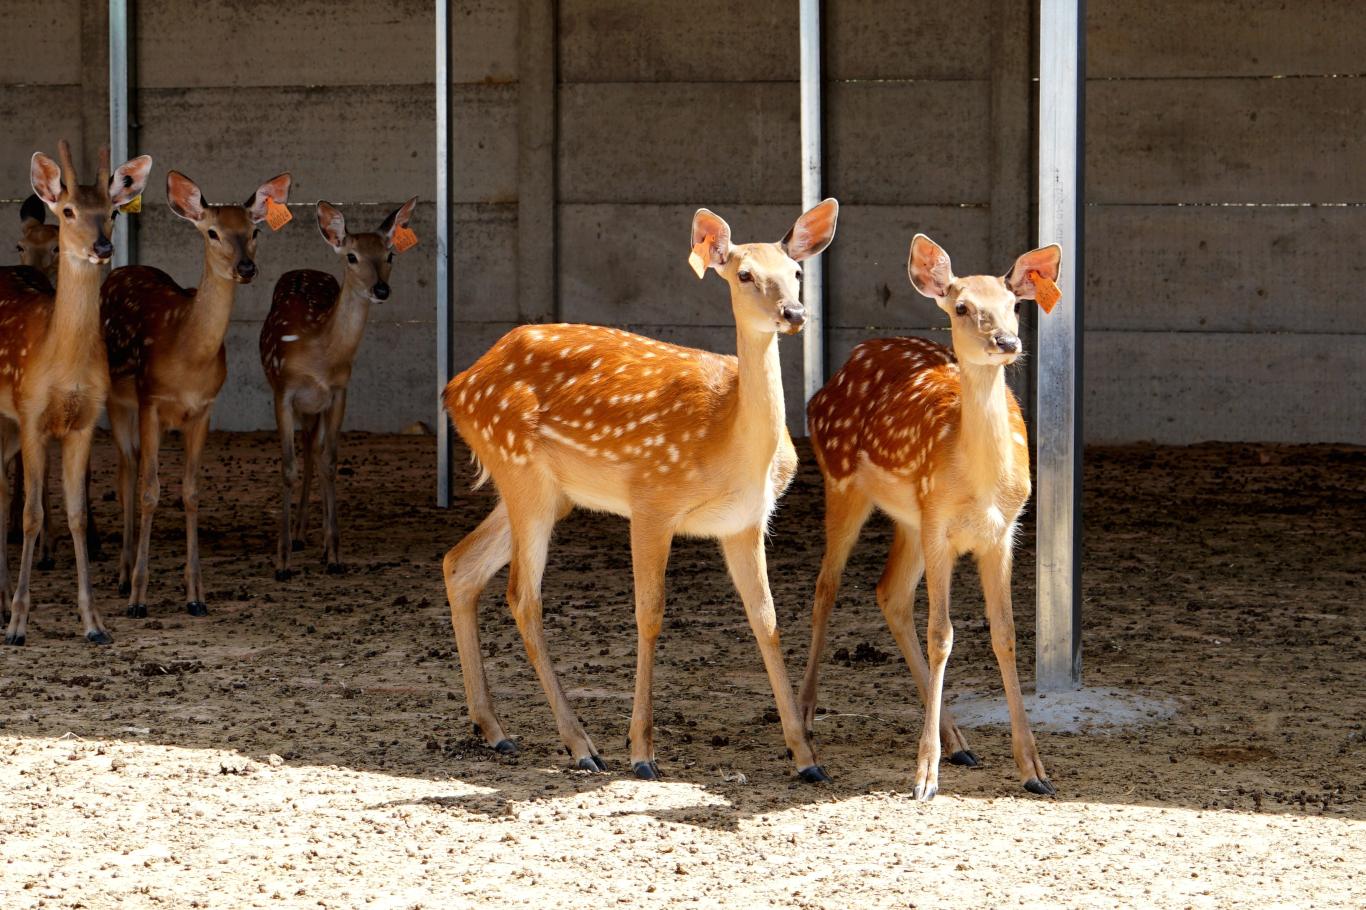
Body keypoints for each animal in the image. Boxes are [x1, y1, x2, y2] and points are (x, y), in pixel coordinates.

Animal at [0, 142, 152, 642]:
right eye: (68, 210)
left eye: (112, 211)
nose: (102, 246)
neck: (61, 364)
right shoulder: (31, 414)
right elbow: (31, 515)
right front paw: (18, 623)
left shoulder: (84, 421)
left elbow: (77, 515)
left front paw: (93, 621)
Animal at [102, 166, 292, 617]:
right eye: (212, 232)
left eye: (254, 231)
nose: (246, 267)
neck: (187, 355)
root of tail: (119, 269)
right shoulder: (151, 400)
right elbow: (150, 492)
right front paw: (138, 599)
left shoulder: (204, 409)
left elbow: (190, 492)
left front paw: (195, 596)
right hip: (116, 399)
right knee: (127, 472)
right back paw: (122, 576)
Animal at [260, 195, 417, 576]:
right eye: (352, 256)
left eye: (390, 254)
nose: (381, 289)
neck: (319, 351)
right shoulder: (283, 391)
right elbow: (287, 466)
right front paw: (281, 561)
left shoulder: (339, 392)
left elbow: (330, 461)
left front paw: (334, 555)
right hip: (298, 402)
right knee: (305, 450)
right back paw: (296, 538)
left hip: (314, 407)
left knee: (314, 451)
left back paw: (309, 539)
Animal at [442, 202, 835, 776]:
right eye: (744, 274)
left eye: (797, 273)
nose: (795, 313)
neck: (727, 443)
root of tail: (455, 387)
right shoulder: (652, 499)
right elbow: (649, 615)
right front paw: (642, 752)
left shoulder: (745, 522)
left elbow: (767, 620)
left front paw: (805, 755)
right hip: (520, 469)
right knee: (522, 595)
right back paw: (581, 744)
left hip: (546, 491)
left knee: (461, 564)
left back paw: (495, 730)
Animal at [797, 232, 1065, 792]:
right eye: (961, 307)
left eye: (1014, 305)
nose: (1007, 342)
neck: (980, 485)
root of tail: (842, 368)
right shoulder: (941, 525)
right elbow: (942, 634)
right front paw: (925, 774)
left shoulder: (1003, 531)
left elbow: (1006, 633)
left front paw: (1033, 768)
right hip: (843, 482)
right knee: (827, 586)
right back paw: (807, 716)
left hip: (910, 519)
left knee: (889, 592)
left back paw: (960, 741)